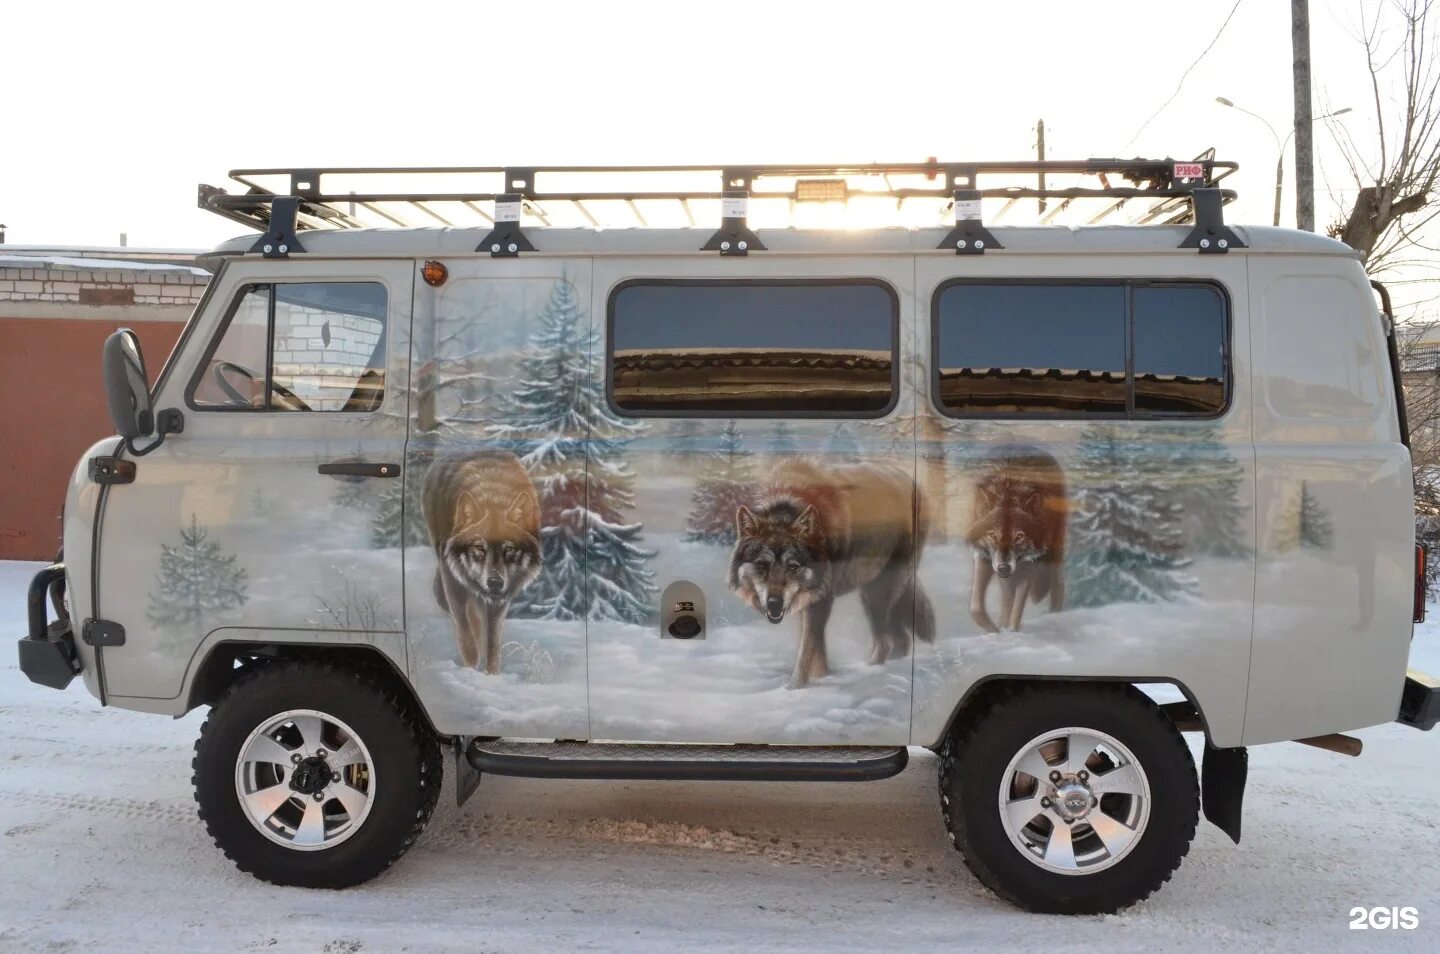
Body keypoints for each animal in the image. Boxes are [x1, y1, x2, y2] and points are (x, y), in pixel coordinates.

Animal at [426, 452, 544, 677]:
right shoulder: (452, 580)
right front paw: (471, 666)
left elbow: (493, 641)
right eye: (479, 547)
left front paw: (492, 675)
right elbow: (463, 626)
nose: (495, 582)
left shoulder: (500, 600)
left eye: (509, 549)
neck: (493, 497)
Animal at [731, 461, 933, 691]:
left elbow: (806, 652)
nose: (774, 603)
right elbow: (817, 652)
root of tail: (913, 482)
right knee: (901, 639)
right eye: (762, 565)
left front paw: (793, 689)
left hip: (876, 594)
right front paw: (822, 679)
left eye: (793, 566)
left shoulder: (821, 599)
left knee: (886, 641)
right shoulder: (806, 601)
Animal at [967, 449, 1071, 634]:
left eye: (1019, 536)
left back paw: (1055, 616)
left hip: (1053, 554)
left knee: (1058, 586)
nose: (1004, 567)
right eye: (993, 535)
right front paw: (996, 631)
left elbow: (1017, 610)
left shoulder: (1030, 563)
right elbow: (976, 607)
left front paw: (1011, 632)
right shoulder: (983, 556)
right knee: (1007, 597)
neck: (1008, 488)